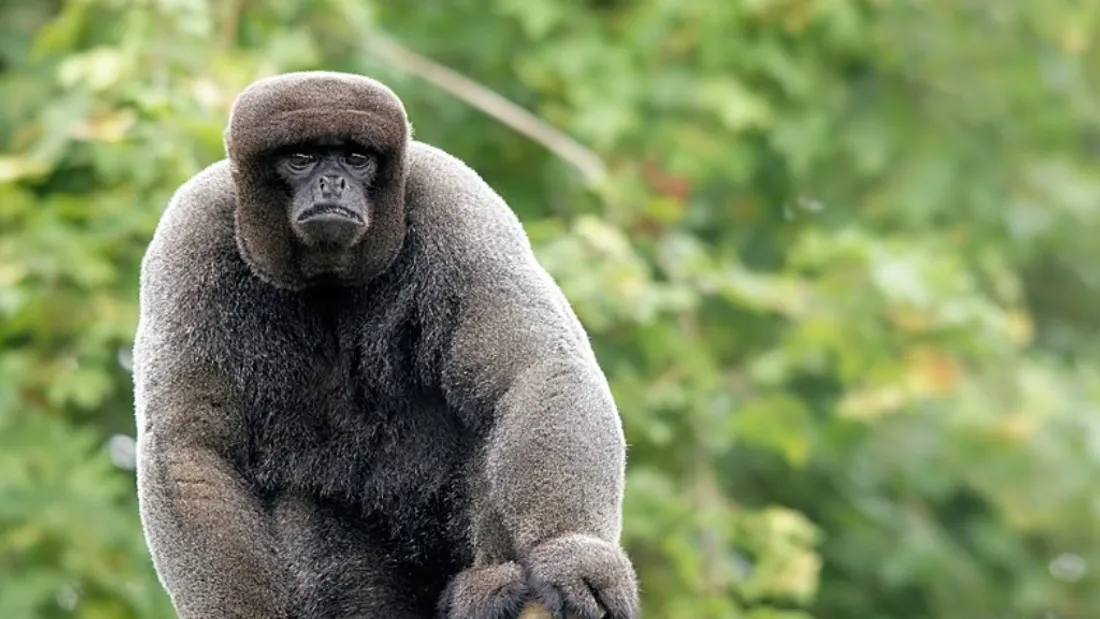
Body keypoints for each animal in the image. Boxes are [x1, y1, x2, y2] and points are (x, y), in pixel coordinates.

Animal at [131, 71, 640, 619]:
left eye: (356, 158)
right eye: (301, 158)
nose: (333, 181)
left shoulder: (455, 204)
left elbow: (535, 370)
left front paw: (571, 552)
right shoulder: (190, 233)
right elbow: (191, 447)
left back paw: (485, 587)